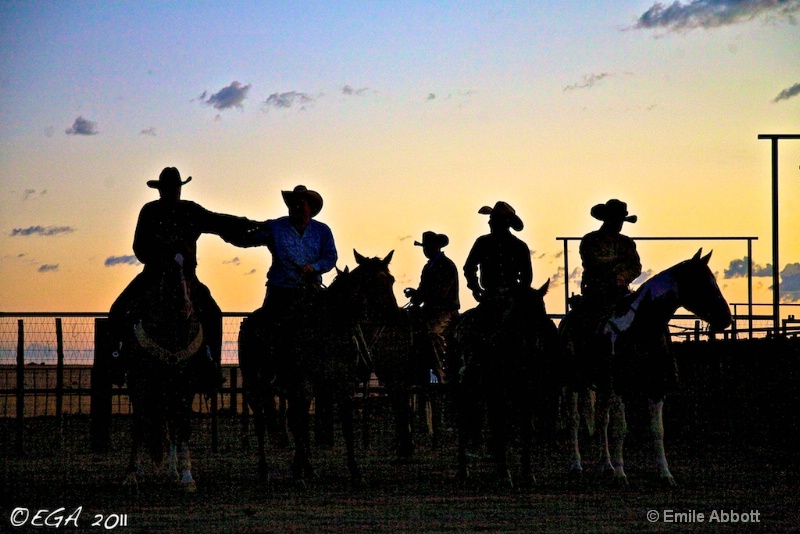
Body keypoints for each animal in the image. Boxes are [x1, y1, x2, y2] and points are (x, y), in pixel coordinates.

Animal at [234, 249, 404, 488]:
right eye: (370, 282)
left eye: (391, 280)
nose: (395, 315)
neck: (329, 328)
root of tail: (248, 323)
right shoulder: (304, 383)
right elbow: (301, 422)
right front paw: (297, 474)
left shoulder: (342, 384)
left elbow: (345, 424)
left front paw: (355, 472)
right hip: (255, 383)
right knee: (261, 421)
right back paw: (265, 471)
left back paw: (308, 469)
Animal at [560, 249, 736, 488]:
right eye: (700, 282)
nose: (726, 319)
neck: (641, 328)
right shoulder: (621, 388)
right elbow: (621, 429)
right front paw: (621, 476)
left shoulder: (656, 387)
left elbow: (657, 431)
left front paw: (665, 474)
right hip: (572, 383)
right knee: (575, 420)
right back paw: (577, 466)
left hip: (603, 387)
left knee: (602, 420)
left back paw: (607, 465)